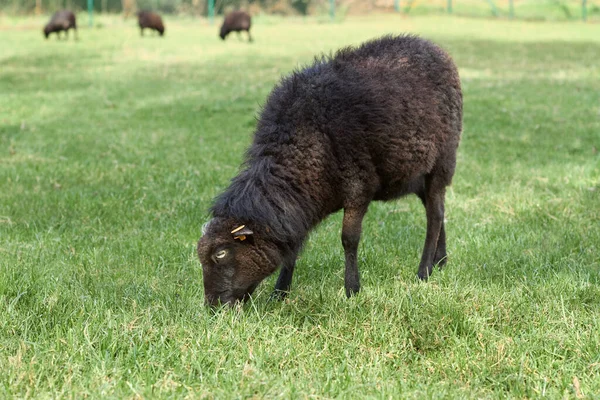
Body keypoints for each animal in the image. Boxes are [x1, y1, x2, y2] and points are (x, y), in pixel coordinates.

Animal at [197, 36, 464, 308]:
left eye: (221, 253)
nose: (213, 308)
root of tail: (434, 47)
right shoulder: (296, 210)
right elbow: (293, 247)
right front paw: (280, 292)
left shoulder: (358, 185)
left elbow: (349, 239)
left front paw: (352, 289)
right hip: (415, 175)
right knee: (437, 210)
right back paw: (440, 261)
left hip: (442, 162)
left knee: (434, 215)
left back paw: (424, 271)